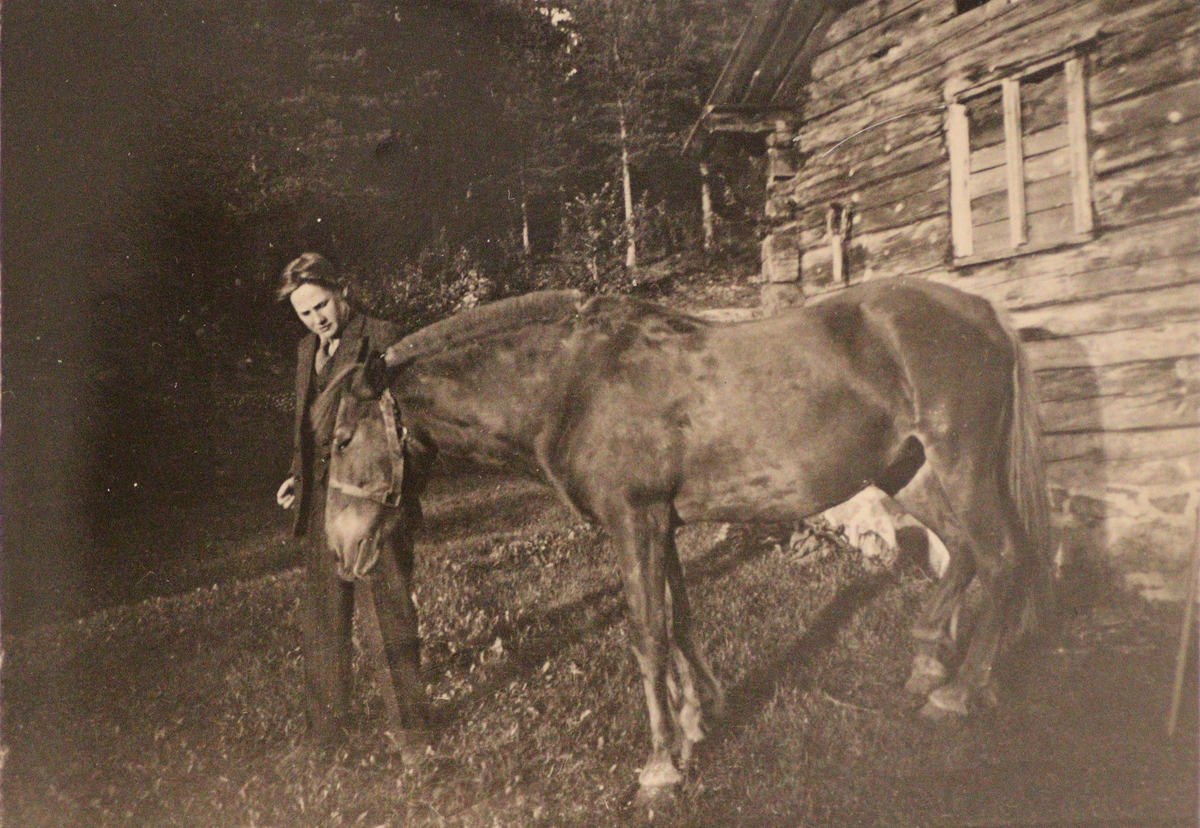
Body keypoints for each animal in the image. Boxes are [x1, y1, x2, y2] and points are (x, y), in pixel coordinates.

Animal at [316, 277, 1051, 792]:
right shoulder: (661, 524)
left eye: (344, 438)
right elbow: (680, 620)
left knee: (1001, 556)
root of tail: (981, 311)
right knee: (964, 554)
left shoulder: (633, 520)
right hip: (909, 471)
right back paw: (928, 662)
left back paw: (957, 692)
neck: (571, 385)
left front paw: (661, 766)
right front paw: (699, 718)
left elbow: (646, 635)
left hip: (959, 461)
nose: (341, 547)